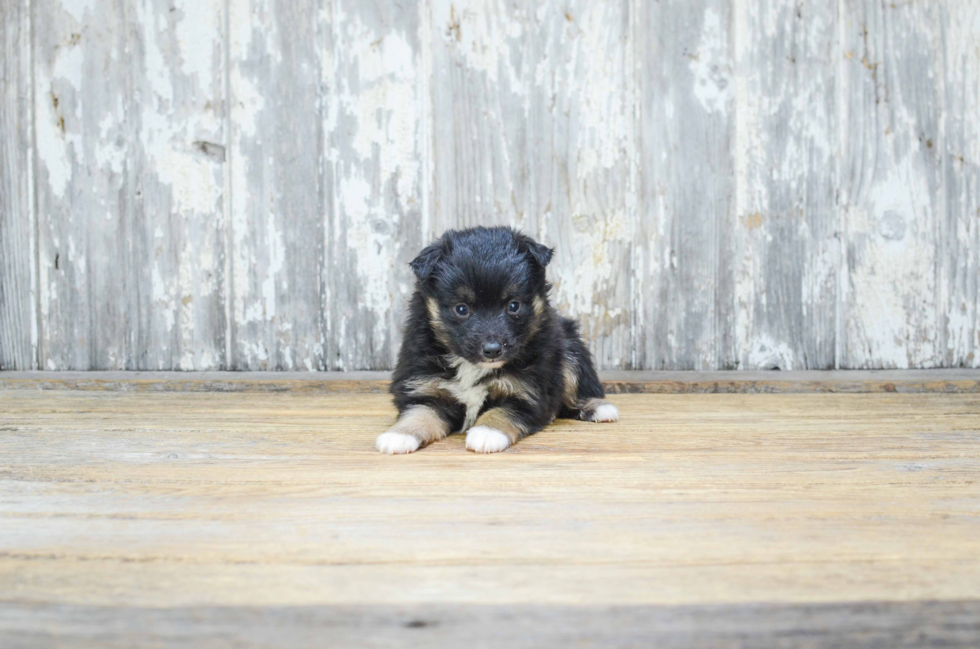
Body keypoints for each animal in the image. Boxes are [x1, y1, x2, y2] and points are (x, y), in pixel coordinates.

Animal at [378, 225, 620, 454]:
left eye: (513, 306)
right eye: (461, 309)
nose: (493, 350)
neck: (471, 367)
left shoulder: (527, 392)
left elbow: (501, 412)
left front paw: (487, 433)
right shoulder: (425, 389)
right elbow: (417, 413)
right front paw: (399, 435)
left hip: (569, 350)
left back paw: (598, 408)